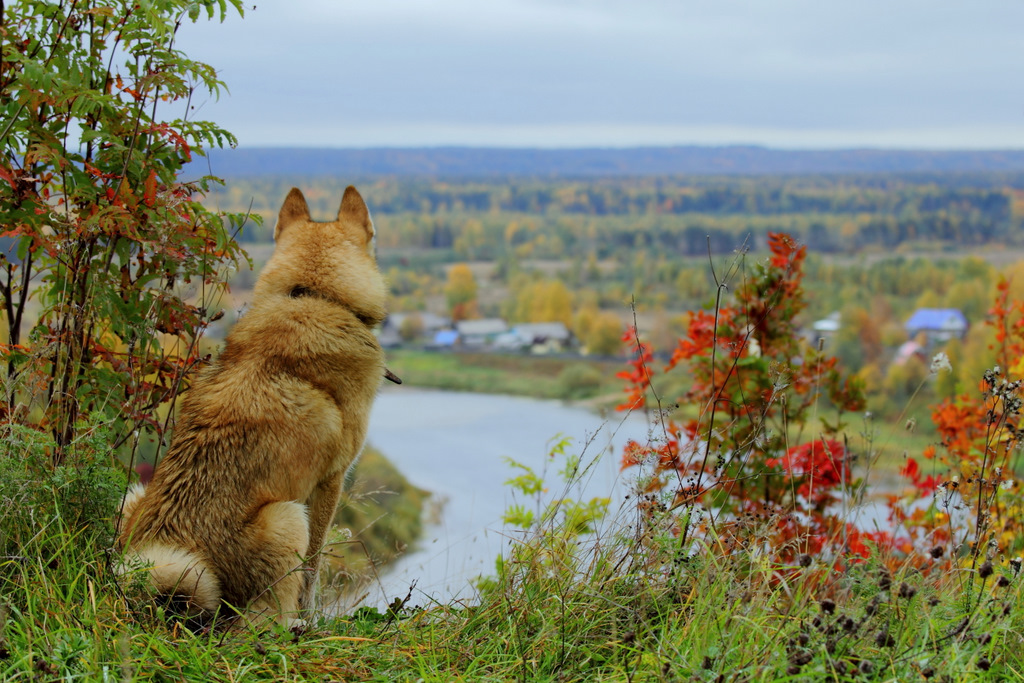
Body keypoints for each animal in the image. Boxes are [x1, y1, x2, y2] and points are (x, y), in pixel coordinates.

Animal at [116, 187, 395, 630]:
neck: (312, 297)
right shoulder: (329, 485)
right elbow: (313, 573)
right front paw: (313, 621)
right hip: (288, 518)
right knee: (261, 623)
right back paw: (292, 627)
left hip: (133, 498)